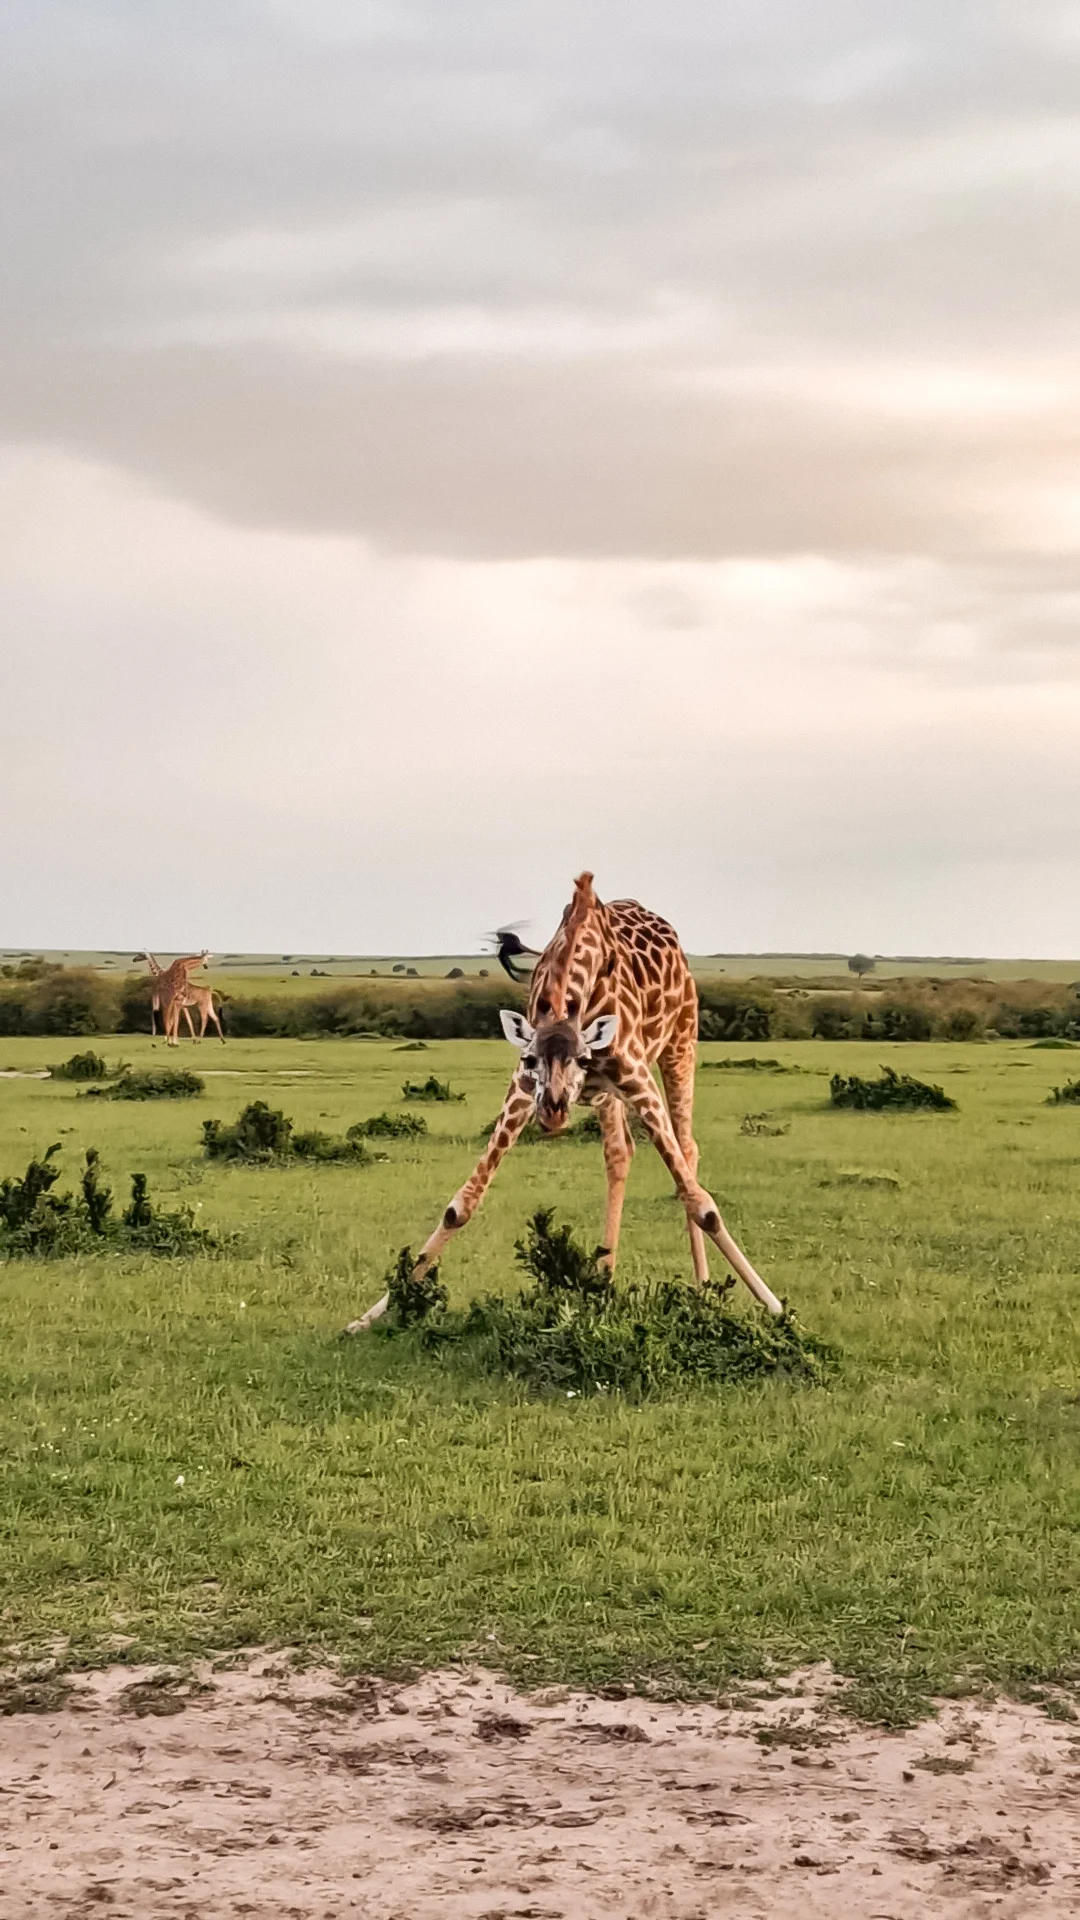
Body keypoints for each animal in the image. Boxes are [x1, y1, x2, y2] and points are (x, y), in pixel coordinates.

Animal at [343, 875, 780, 1336]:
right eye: (531, 1060)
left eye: (583, 1059)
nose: (553, 1112)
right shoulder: (523, 1088)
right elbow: (461, 1205)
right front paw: (370, 1314)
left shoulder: (634, 1073)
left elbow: (703, 1205)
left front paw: (776, 1309)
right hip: (609, 1094)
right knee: (620, 1152)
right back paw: (603, 1282)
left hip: (680, 1042)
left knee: (687, 1147)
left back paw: (700, 1286)